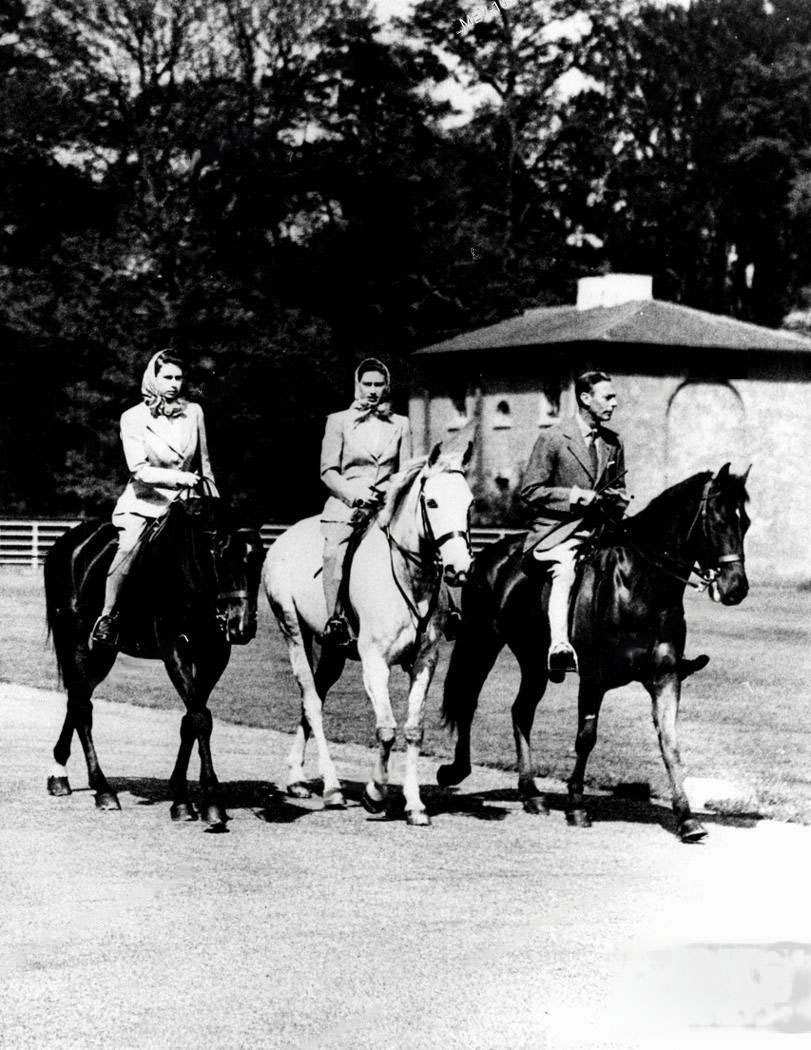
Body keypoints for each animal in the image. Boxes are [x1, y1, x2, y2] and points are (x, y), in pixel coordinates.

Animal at [43, 497, 262, 827]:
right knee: (82, 707)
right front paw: (209, 802)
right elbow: (200, 718)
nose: (242, 627)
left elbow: (193, 718)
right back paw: (103, 790)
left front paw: (183, 797)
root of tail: (66, 542)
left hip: (102, 653)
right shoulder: (175, 651)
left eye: (260, 557)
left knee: (78, 700)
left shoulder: (214, 657)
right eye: (224, 555)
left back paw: (60, 775)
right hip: (78, 643)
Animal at [262, 438, 472, 823]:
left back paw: (297, 778)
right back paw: (331, 788)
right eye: (432, 502)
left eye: (470, 502)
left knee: (313, 698)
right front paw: (375, 793)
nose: (459, 569)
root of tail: (283, 537)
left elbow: (413, 729)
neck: (407, 577)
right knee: (312, 703)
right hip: (293, 632)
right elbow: (387, 729)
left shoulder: (425, 663)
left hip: (332, 651)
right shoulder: (375, 662)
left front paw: (414, 804)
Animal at [441, 464, 752, 839]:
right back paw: (457, 770)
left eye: (746, 522)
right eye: (718, 520)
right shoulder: (593, 678)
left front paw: (687, 818)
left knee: (521, 712)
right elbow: (586, 738)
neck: (640, 584)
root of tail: (489, 555)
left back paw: (531, 794)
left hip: (533, 661)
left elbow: (670, 742)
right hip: (482, 641)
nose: (736, 588)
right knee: (468, 699)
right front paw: (576, 806)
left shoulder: (665, 677)